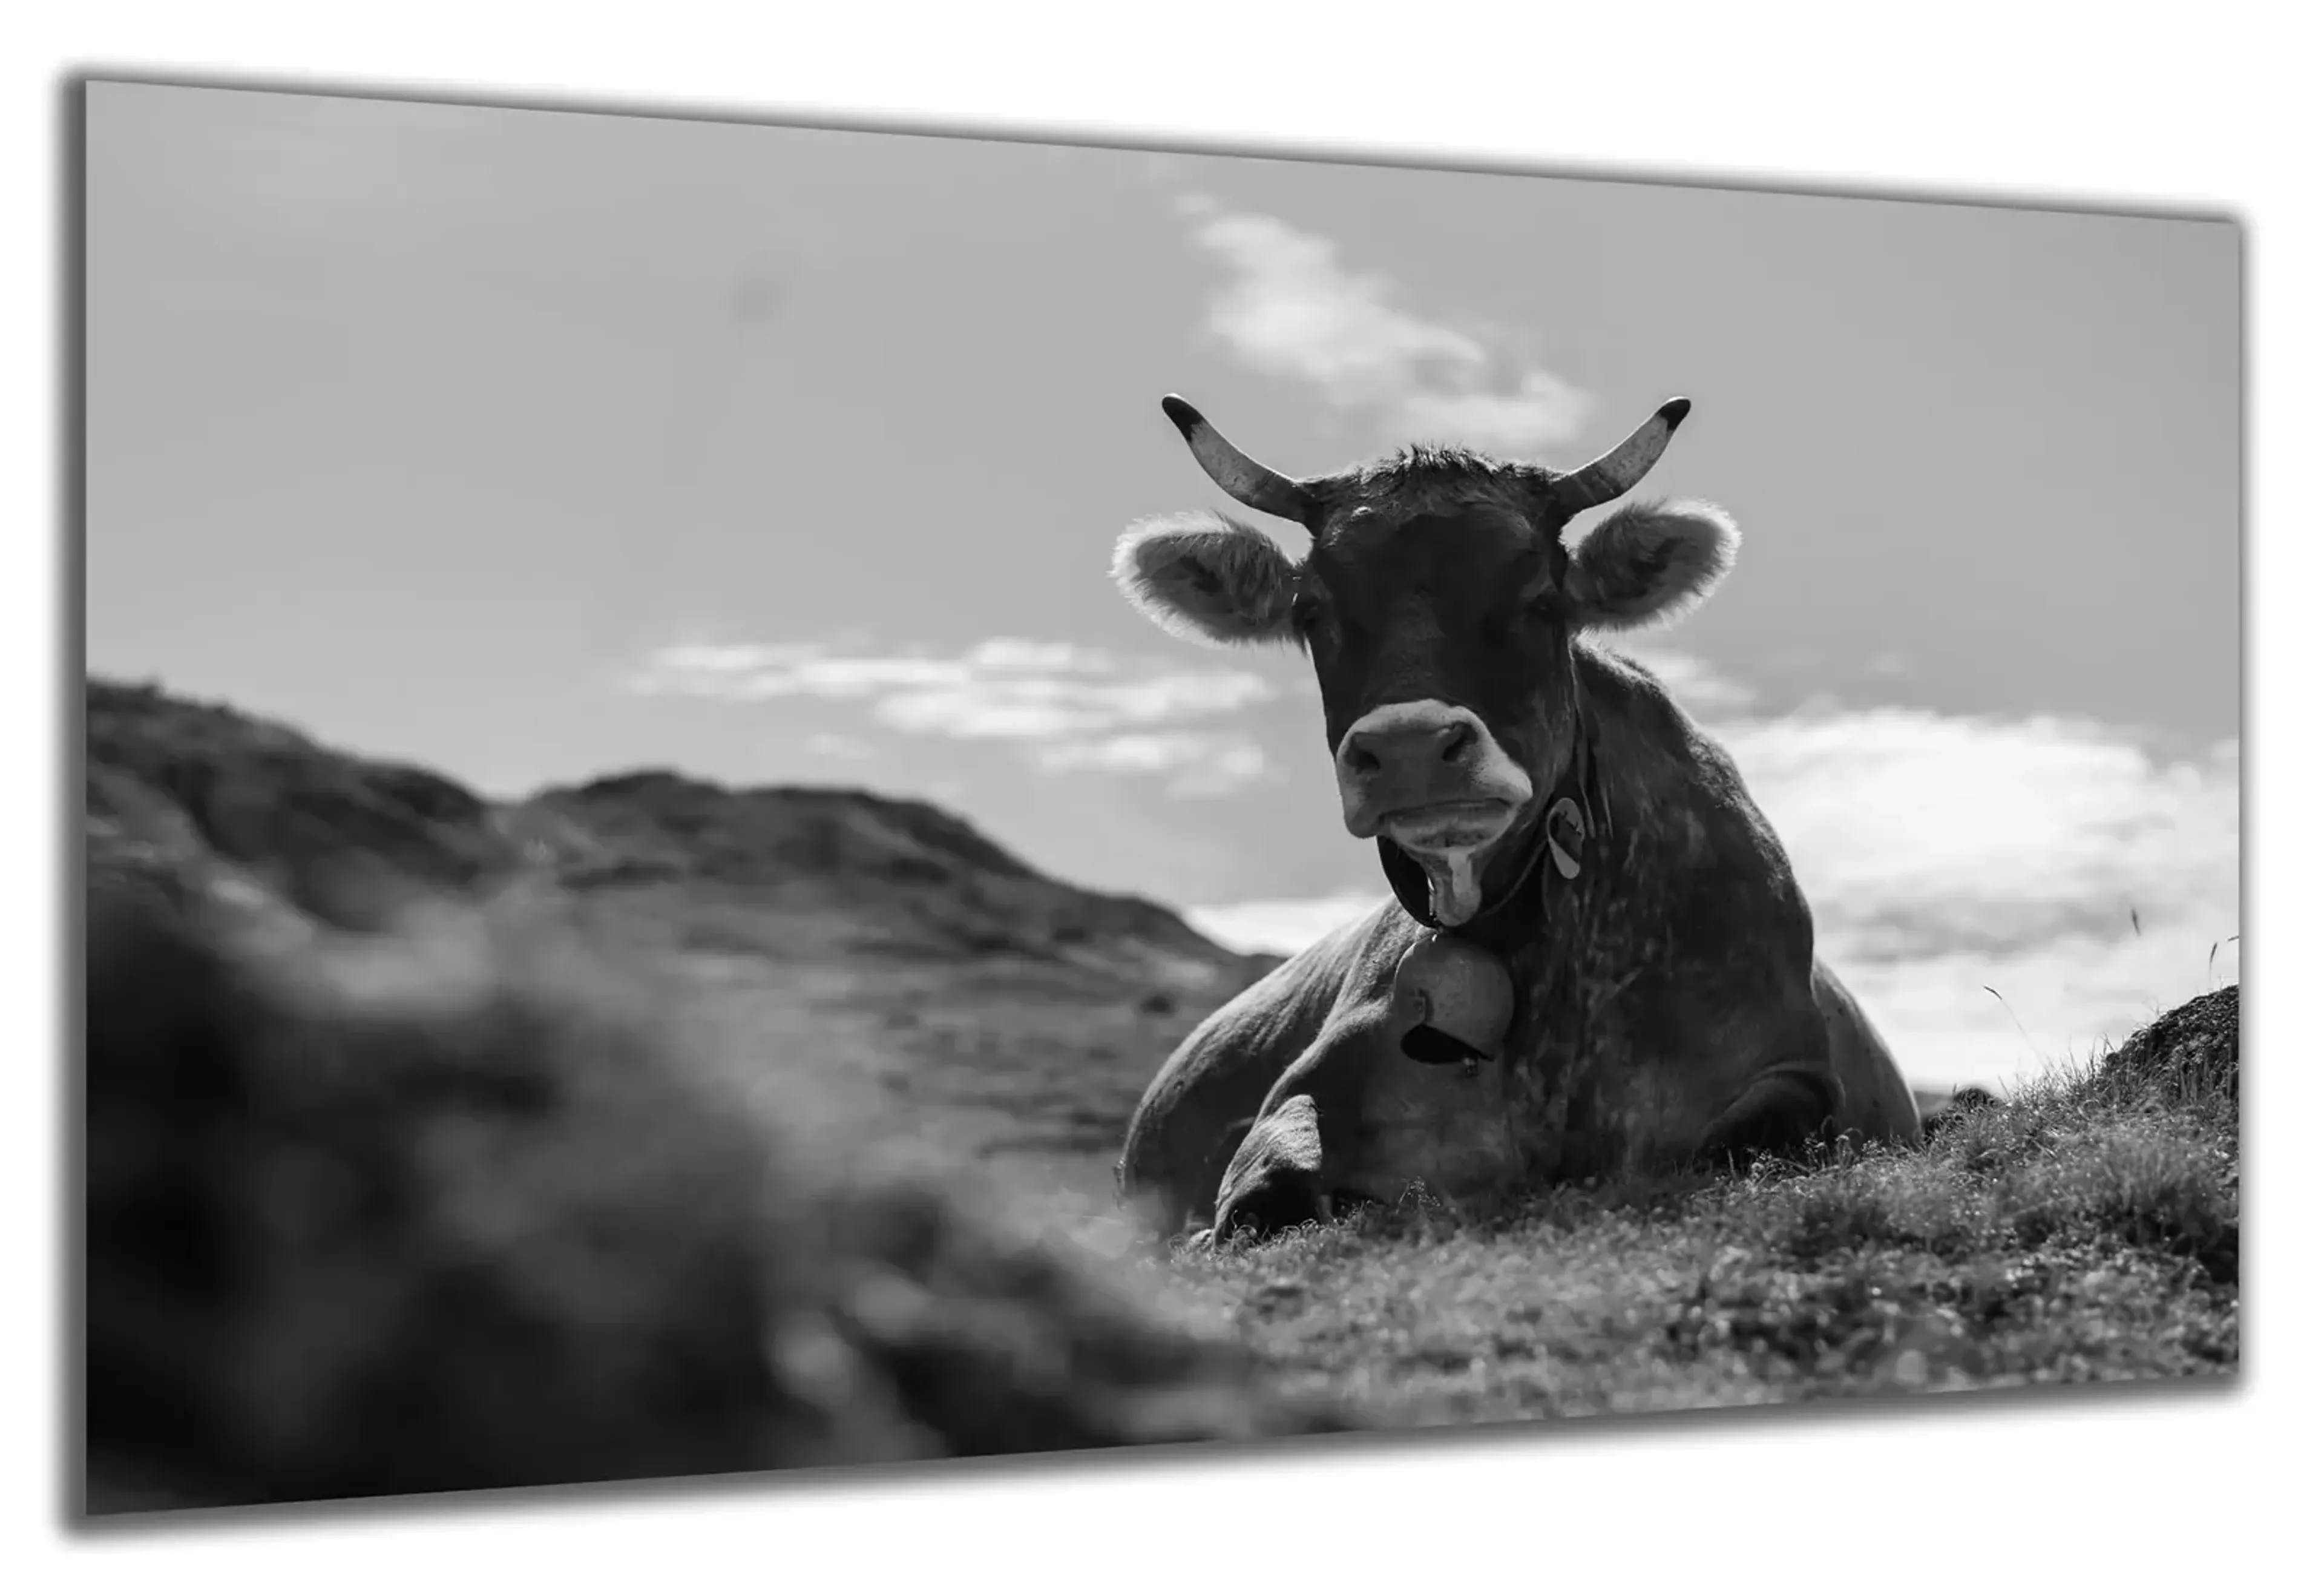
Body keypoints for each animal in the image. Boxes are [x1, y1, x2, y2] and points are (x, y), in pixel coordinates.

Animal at [1109, 393, 1922, 1243]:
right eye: (1311, 610)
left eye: (1541, 599)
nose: (1409, 748)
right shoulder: (1305, 1090)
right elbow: (1268, 1193)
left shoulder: (1790, 1068)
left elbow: (1761, 1129)